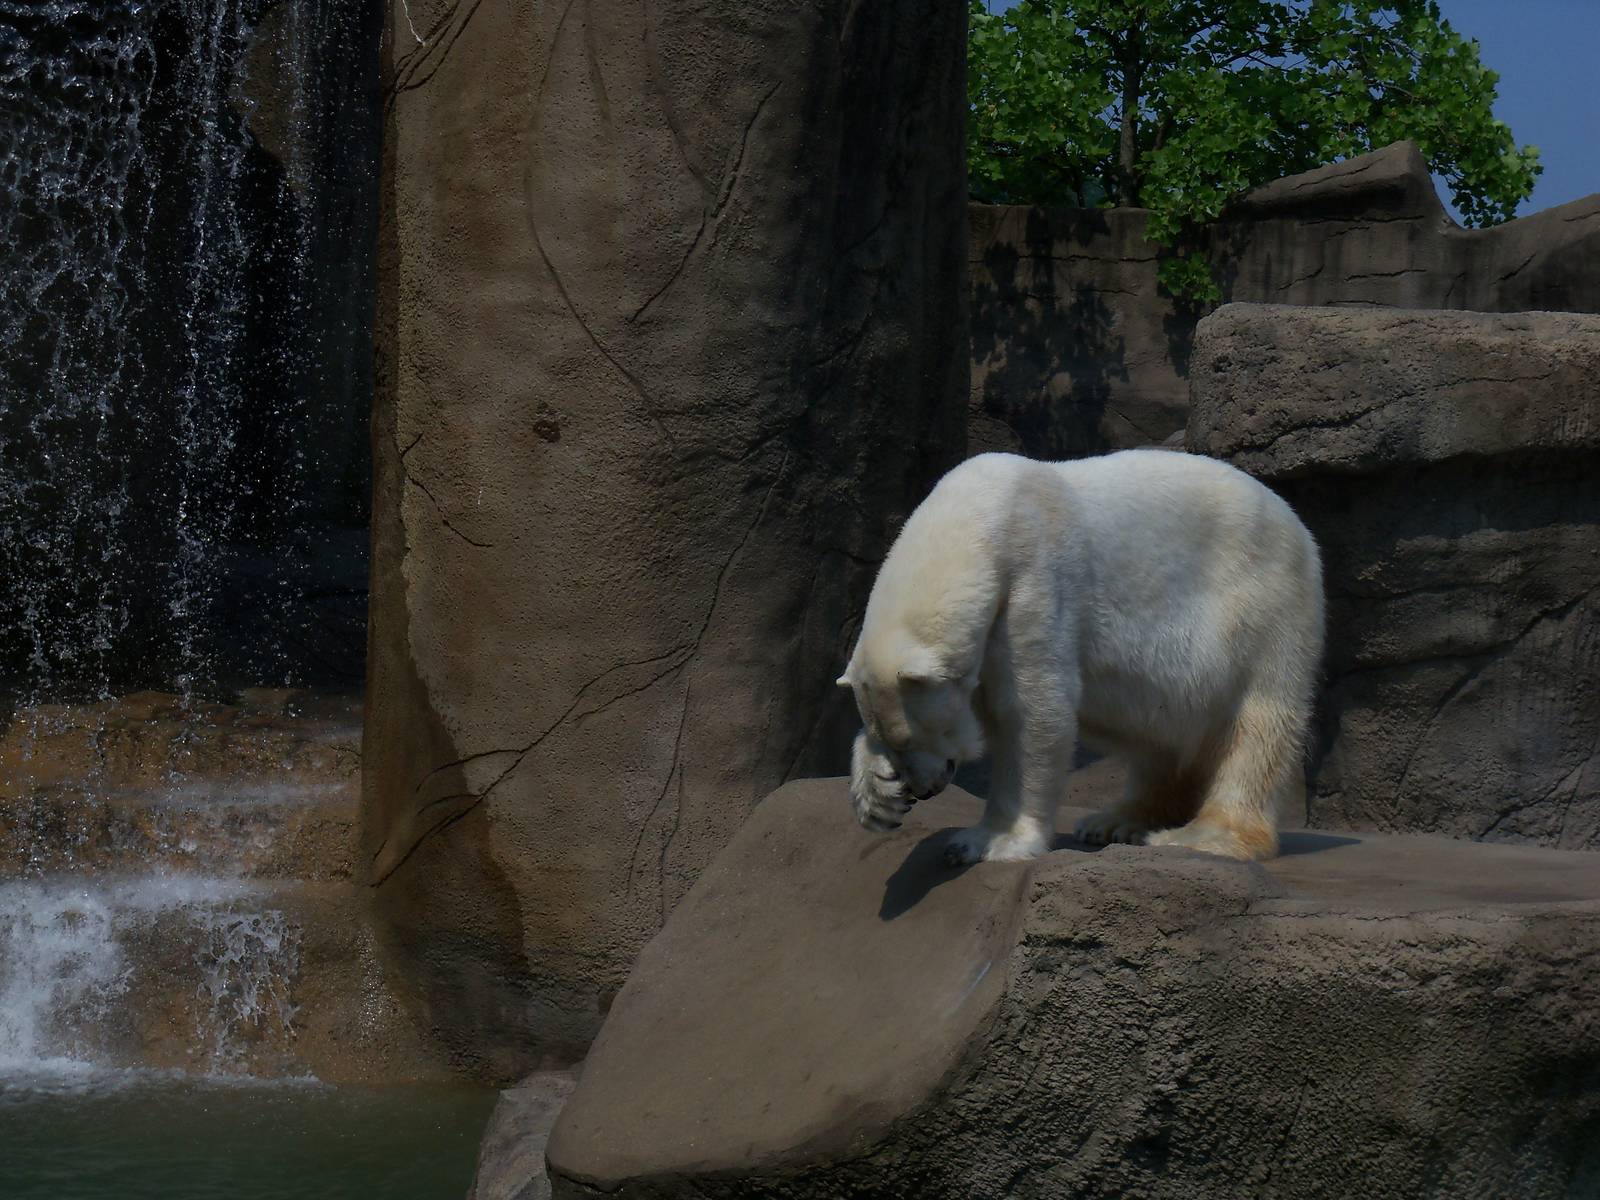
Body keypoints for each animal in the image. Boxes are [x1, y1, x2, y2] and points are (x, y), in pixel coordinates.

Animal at [838, 449, 1324, 864]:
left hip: (1264, 606)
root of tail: (1301, 530)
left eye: (911, 739)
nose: (924, 791)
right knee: (1161, 734)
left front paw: (992, 841)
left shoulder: (1034, 578)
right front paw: (876, 793)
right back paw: (1117, 822)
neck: (986, 512)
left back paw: (1203, 834)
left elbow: (1032, 711)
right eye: (894, 742)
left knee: (1258, 722)